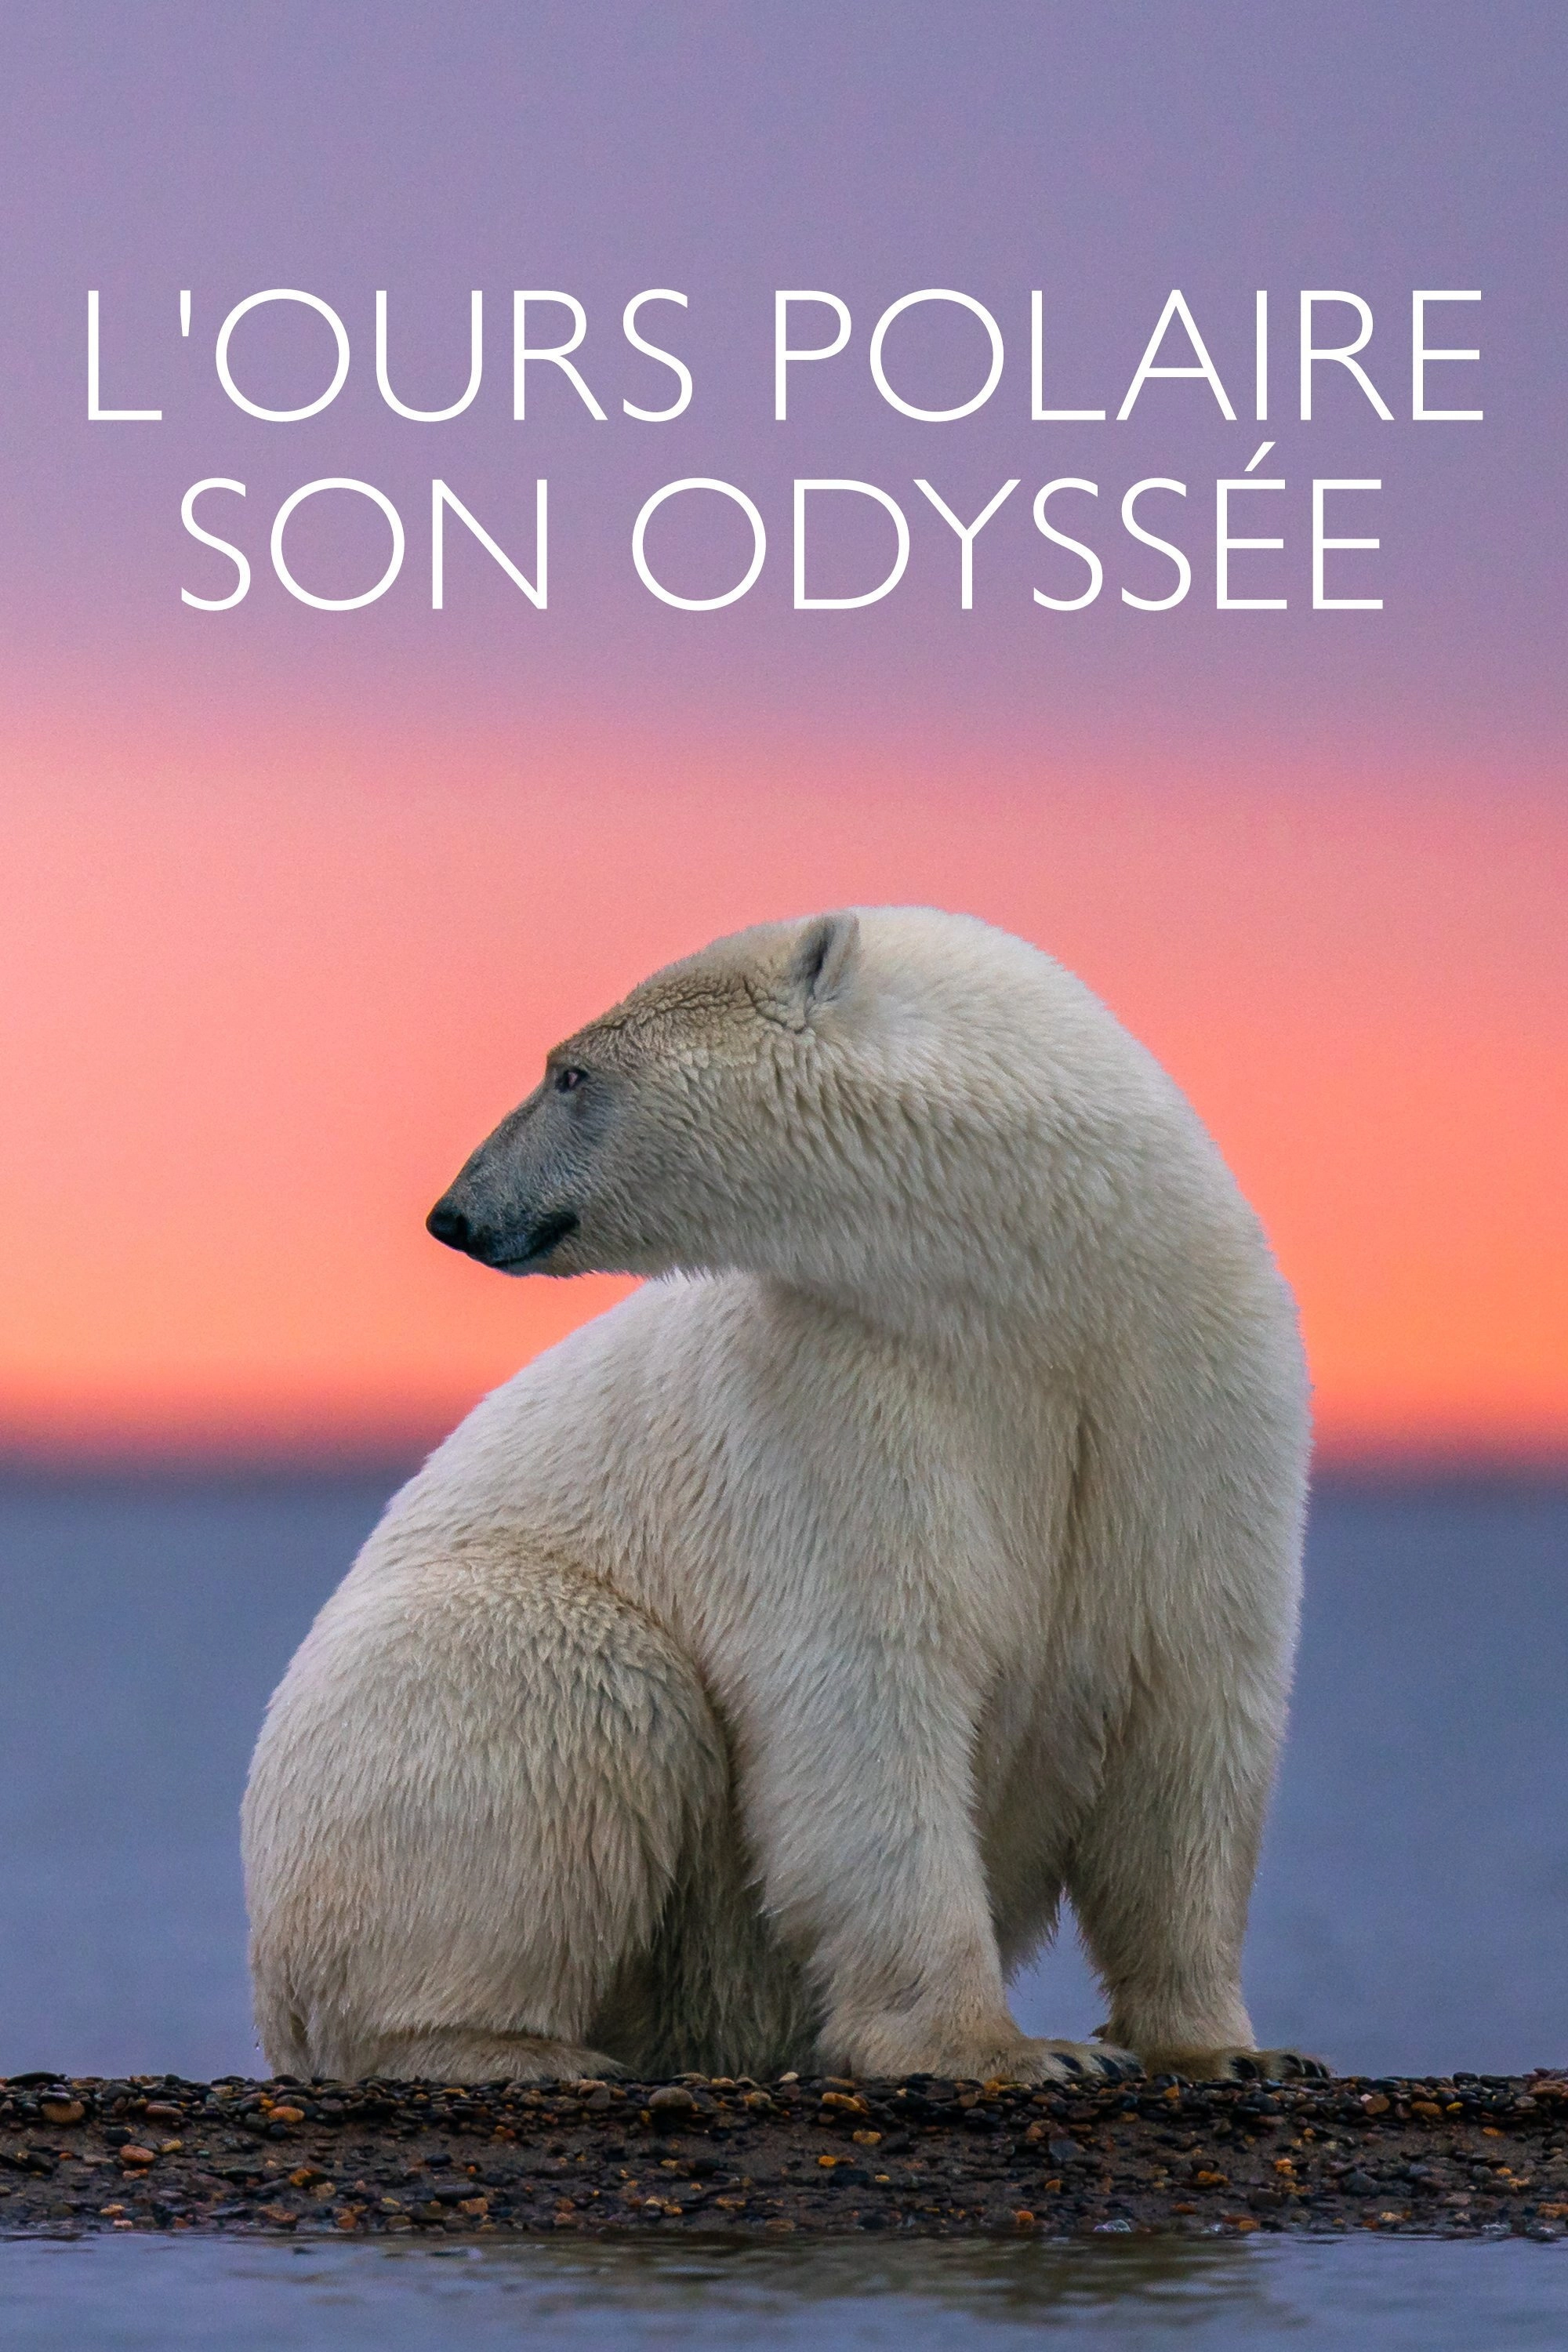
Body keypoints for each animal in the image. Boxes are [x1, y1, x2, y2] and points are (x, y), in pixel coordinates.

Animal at [242, 907, 1321, 2088]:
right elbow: (866, 1695)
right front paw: (1005, 2049)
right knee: (570, 1688)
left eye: (570, 1073)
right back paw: (507, 2044)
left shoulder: (1188, 1389)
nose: (455, 1212)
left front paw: (1227, 2048)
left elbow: (1190, 1709)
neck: (1037, 1292)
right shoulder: (833, 1399)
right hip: (439, 1678)